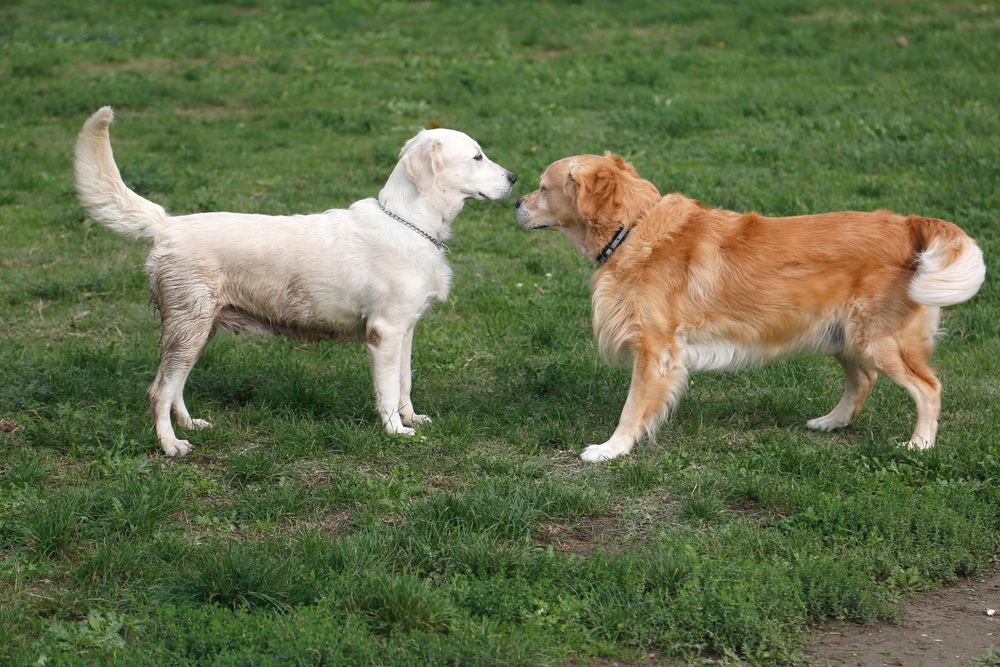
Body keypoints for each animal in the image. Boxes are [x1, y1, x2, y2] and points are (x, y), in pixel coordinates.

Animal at [74, 107, 520, 456]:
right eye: (478, 156)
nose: (515, 178)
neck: (410, 222)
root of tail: (167, 224)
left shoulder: (406, 329)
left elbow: (405, 382)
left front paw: (414, 418)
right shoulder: (385, 332)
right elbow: (388, 392)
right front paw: (396, 432)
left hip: (199, 329)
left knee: (176, 386)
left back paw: (190, 425)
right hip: (188, 326)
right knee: (159, 390)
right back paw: (171, 446)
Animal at [516, 153, 984, 462]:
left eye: (542, 187)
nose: (516, 202)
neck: (632, 228)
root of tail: (909, 224)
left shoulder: (655, 351)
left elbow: (631, 409)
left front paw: (610, 449)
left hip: (878, 340)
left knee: (928, 388)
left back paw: (920, 445)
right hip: (843, 336)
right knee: (862, 381)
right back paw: (831, 423)